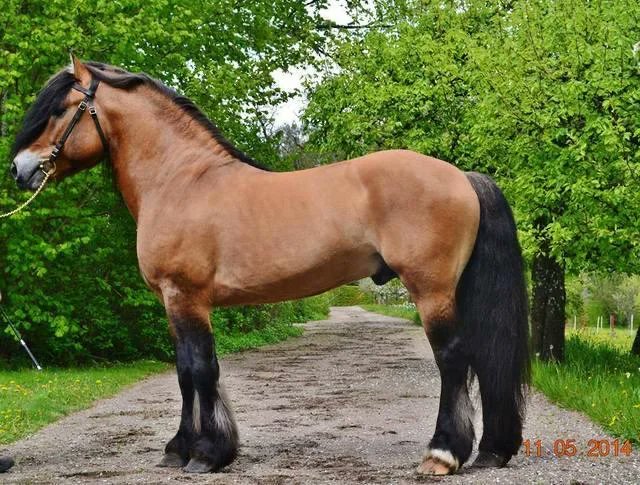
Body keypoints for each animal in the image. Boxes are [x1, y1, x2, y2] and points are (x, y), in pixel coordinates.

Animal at [9, 57, 529, 475]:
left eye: (59, 109)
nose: (19, 169)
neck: (181, 181)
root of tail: (461, 176)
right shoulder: (176, 303)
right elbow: (186, 372)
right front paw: (181, 448)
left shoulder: (185, 296)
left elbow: (198, 369)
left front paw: (205, 454)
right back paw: (491, 450)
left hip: (431, 289)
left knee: (453, 360)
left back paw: (442, 455)